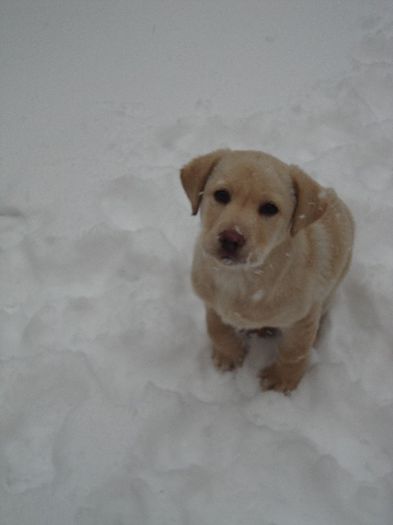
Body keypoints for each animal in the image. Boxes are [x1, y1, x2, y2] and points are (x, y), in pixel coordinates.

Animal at [181, 147, 356, 388]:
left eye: (270, 208)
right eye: (221, 195)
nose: (231, 238)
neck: (241, 278)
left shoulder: (303, 317)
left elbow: (294, 351)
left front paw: (281, 380)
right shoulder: (210, 302)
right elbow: (216, 328)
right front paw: (228, 355)